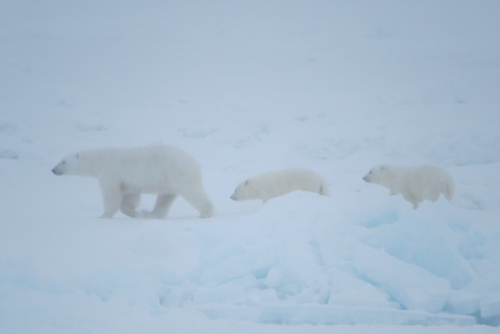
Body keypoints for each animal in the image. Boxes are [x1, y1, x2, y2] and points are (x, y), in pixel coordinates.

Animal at [51, 144, 214, 218]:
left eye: (63, 161)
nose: (53, 169)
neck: (100, 160)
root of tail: (196, 163)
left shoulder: (110, 172)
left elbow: (111, 195)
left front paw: (103, 216)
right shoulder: (128, 183)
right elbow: (130, 197)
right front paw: (134, 212)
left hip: (179, 174)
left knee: (193, 192)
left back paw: (206, 212)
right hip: (169, 181)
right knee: (164, 199)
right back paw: (149, 213)